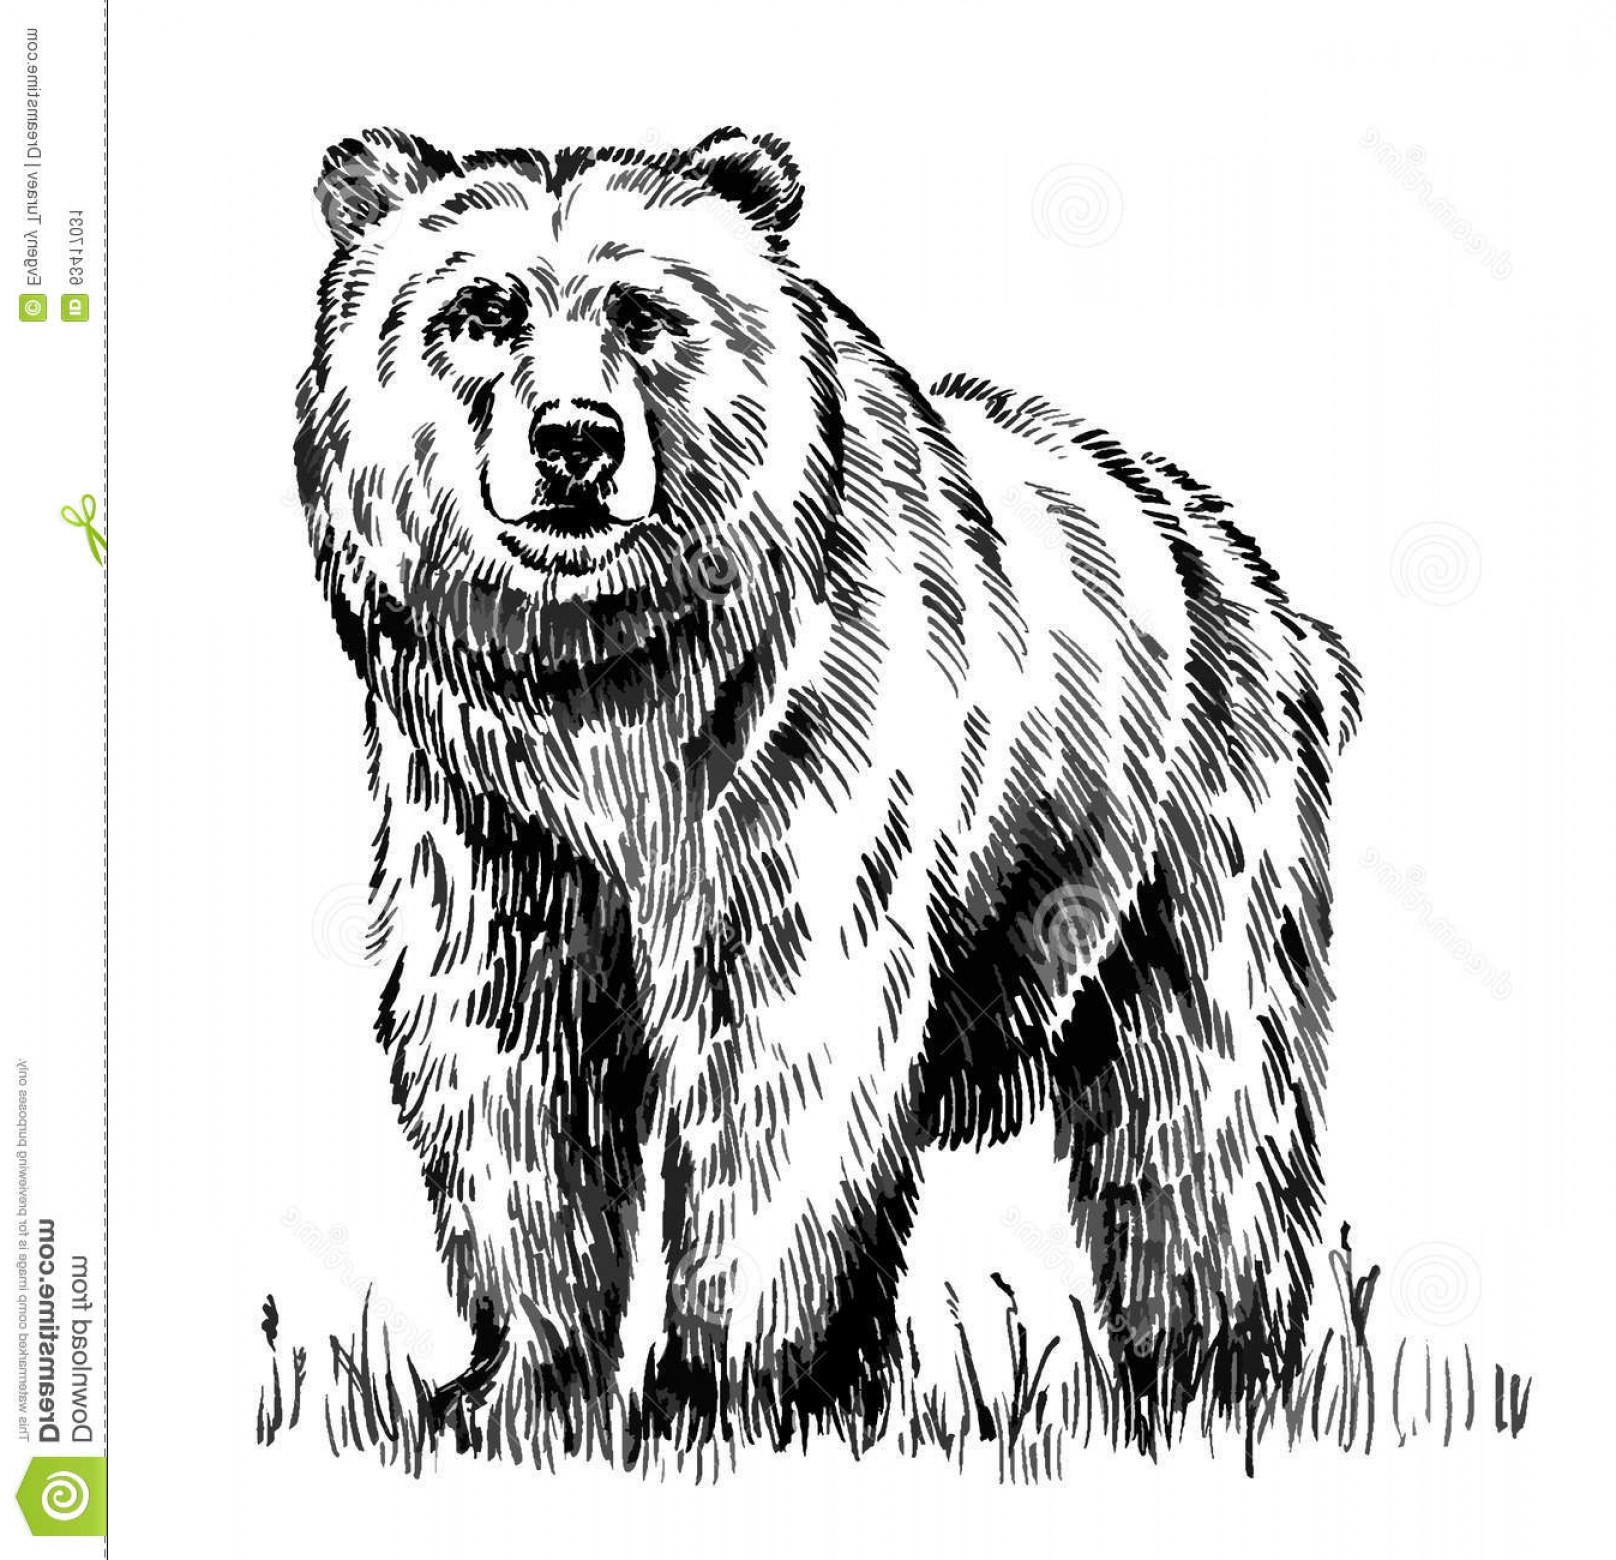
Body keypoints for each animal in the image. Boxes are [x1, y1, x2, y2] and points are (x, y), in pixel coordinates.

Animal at [294, 126, 1360, 1455]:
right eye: (480, 310)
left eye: (645, 312)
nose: (574, 441)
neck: (607, 676)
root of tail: (1236, 563)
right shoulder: (496, 825)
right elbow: (508, 1071)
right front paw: (512, 1389)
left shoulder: (793, 769)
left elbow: (776, 1064)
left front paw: (713, 1392)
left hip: (1184, 826)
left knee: (1200, 1100)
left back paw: (1206, 1375)